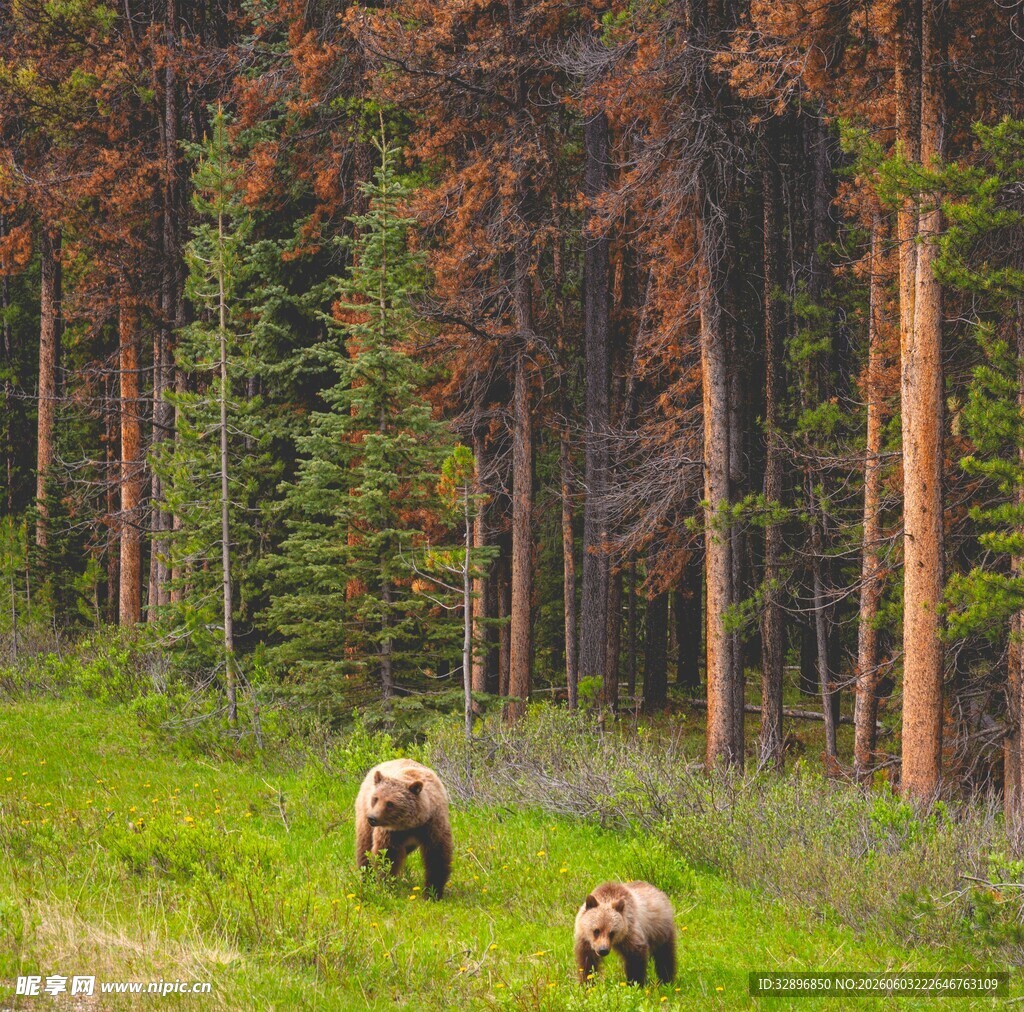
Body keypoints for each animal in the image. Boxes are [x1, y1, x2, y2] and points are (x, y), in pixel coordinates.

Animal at [354, 759, 453, 899]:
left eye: (390, 803)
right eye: (375, 798)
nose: (372, 818)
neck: (410, 825)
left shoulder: (432, 825)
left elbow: (436, 855)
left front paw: (433, 892)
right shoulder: (390, 833)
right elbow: (387, 855)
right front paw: (387, 885)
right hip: (363, 814)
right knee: (364, 847)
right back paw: (367, 878)